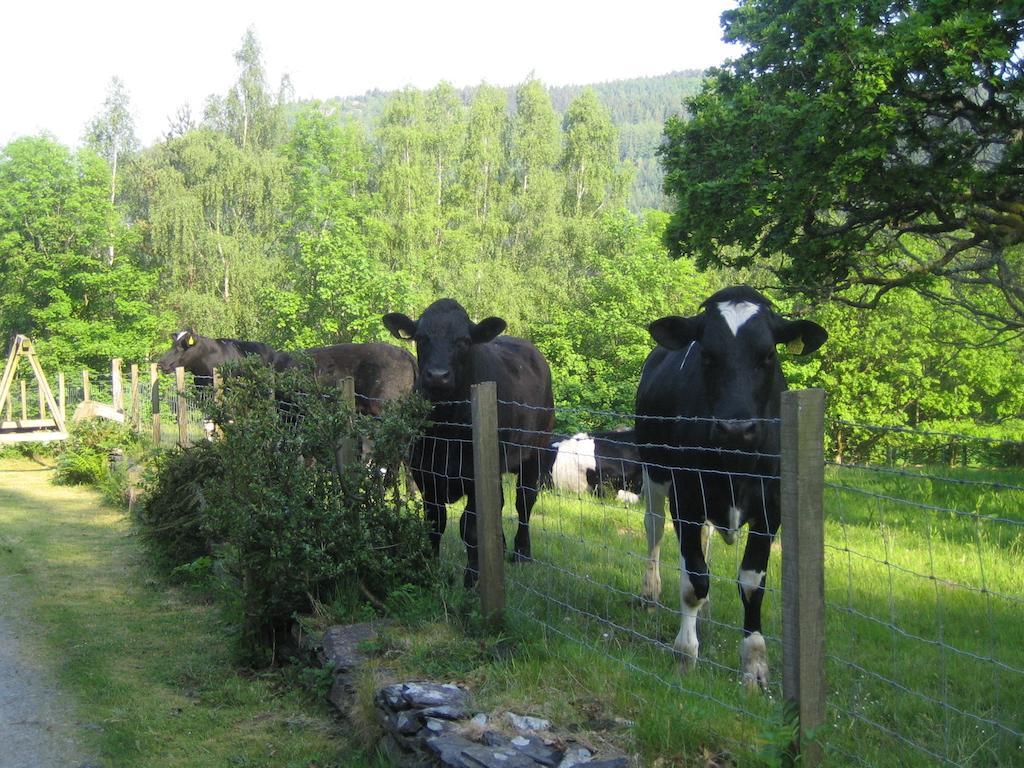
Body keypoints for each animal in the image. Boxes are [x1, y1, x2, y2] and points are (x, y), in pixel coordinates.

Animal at [385, 296, 557, 585]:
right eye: (421, 338)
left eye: (464, 341)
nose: (438, 375)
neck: (447, 424)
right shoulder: (425, 473)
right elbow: (435, 522)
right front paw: (432, 570)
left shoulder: (477, 472)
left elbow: (471, 527)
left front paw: (473, 580)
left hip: (535, 450)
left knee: (524, 501)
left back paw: (522, 552)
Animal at [634, 286, 827, 692]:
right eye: (707, 354)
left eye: (768, 355)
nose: (735, 429)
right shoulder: (686, 497)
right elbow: (694, 578)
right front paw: (685, 654)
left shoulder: (772, 506)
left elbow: (752, 584)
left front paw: (754, 666)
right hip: (654, 472)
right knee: (654, 528)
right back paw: (650, 591)